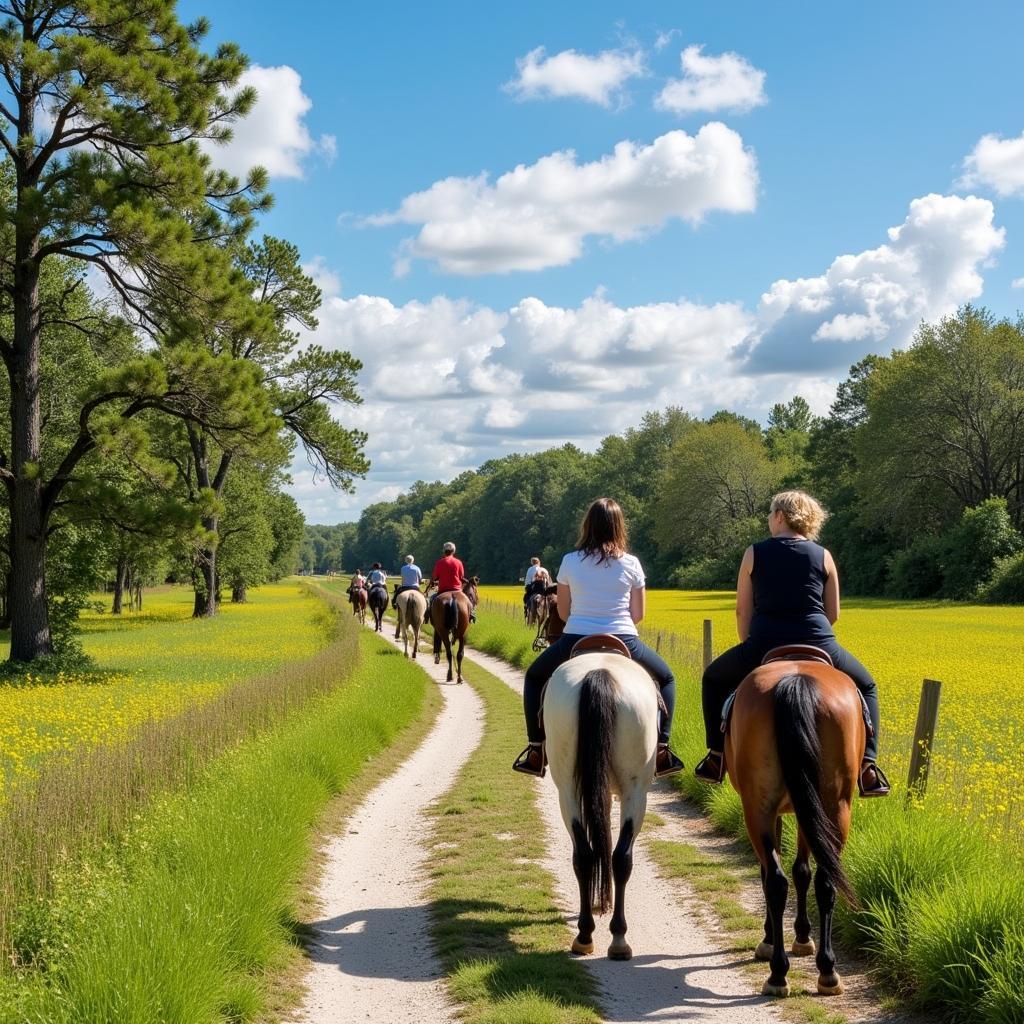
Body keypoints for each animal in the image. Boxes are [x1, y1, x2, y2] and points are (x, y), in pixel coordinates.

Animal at [540, 647, 659, 958]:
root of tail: (600, 673)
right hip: (634, 792)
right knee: (618, 857)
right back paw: (613, 937)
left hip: (569, 790)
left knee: (587, 854)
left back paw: (589, 935)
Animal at [729, 651, 864, 995]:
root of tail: (796, 680)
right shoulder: (806, 810)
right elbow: (802, 872)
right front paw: (802, 936)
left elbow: (781, 872)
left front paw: (780, 937)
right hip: (834, 807)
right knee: (824, 881)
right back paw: (826, 971)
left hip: (760, 809)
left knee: (775, 881)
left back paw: (778, 972)